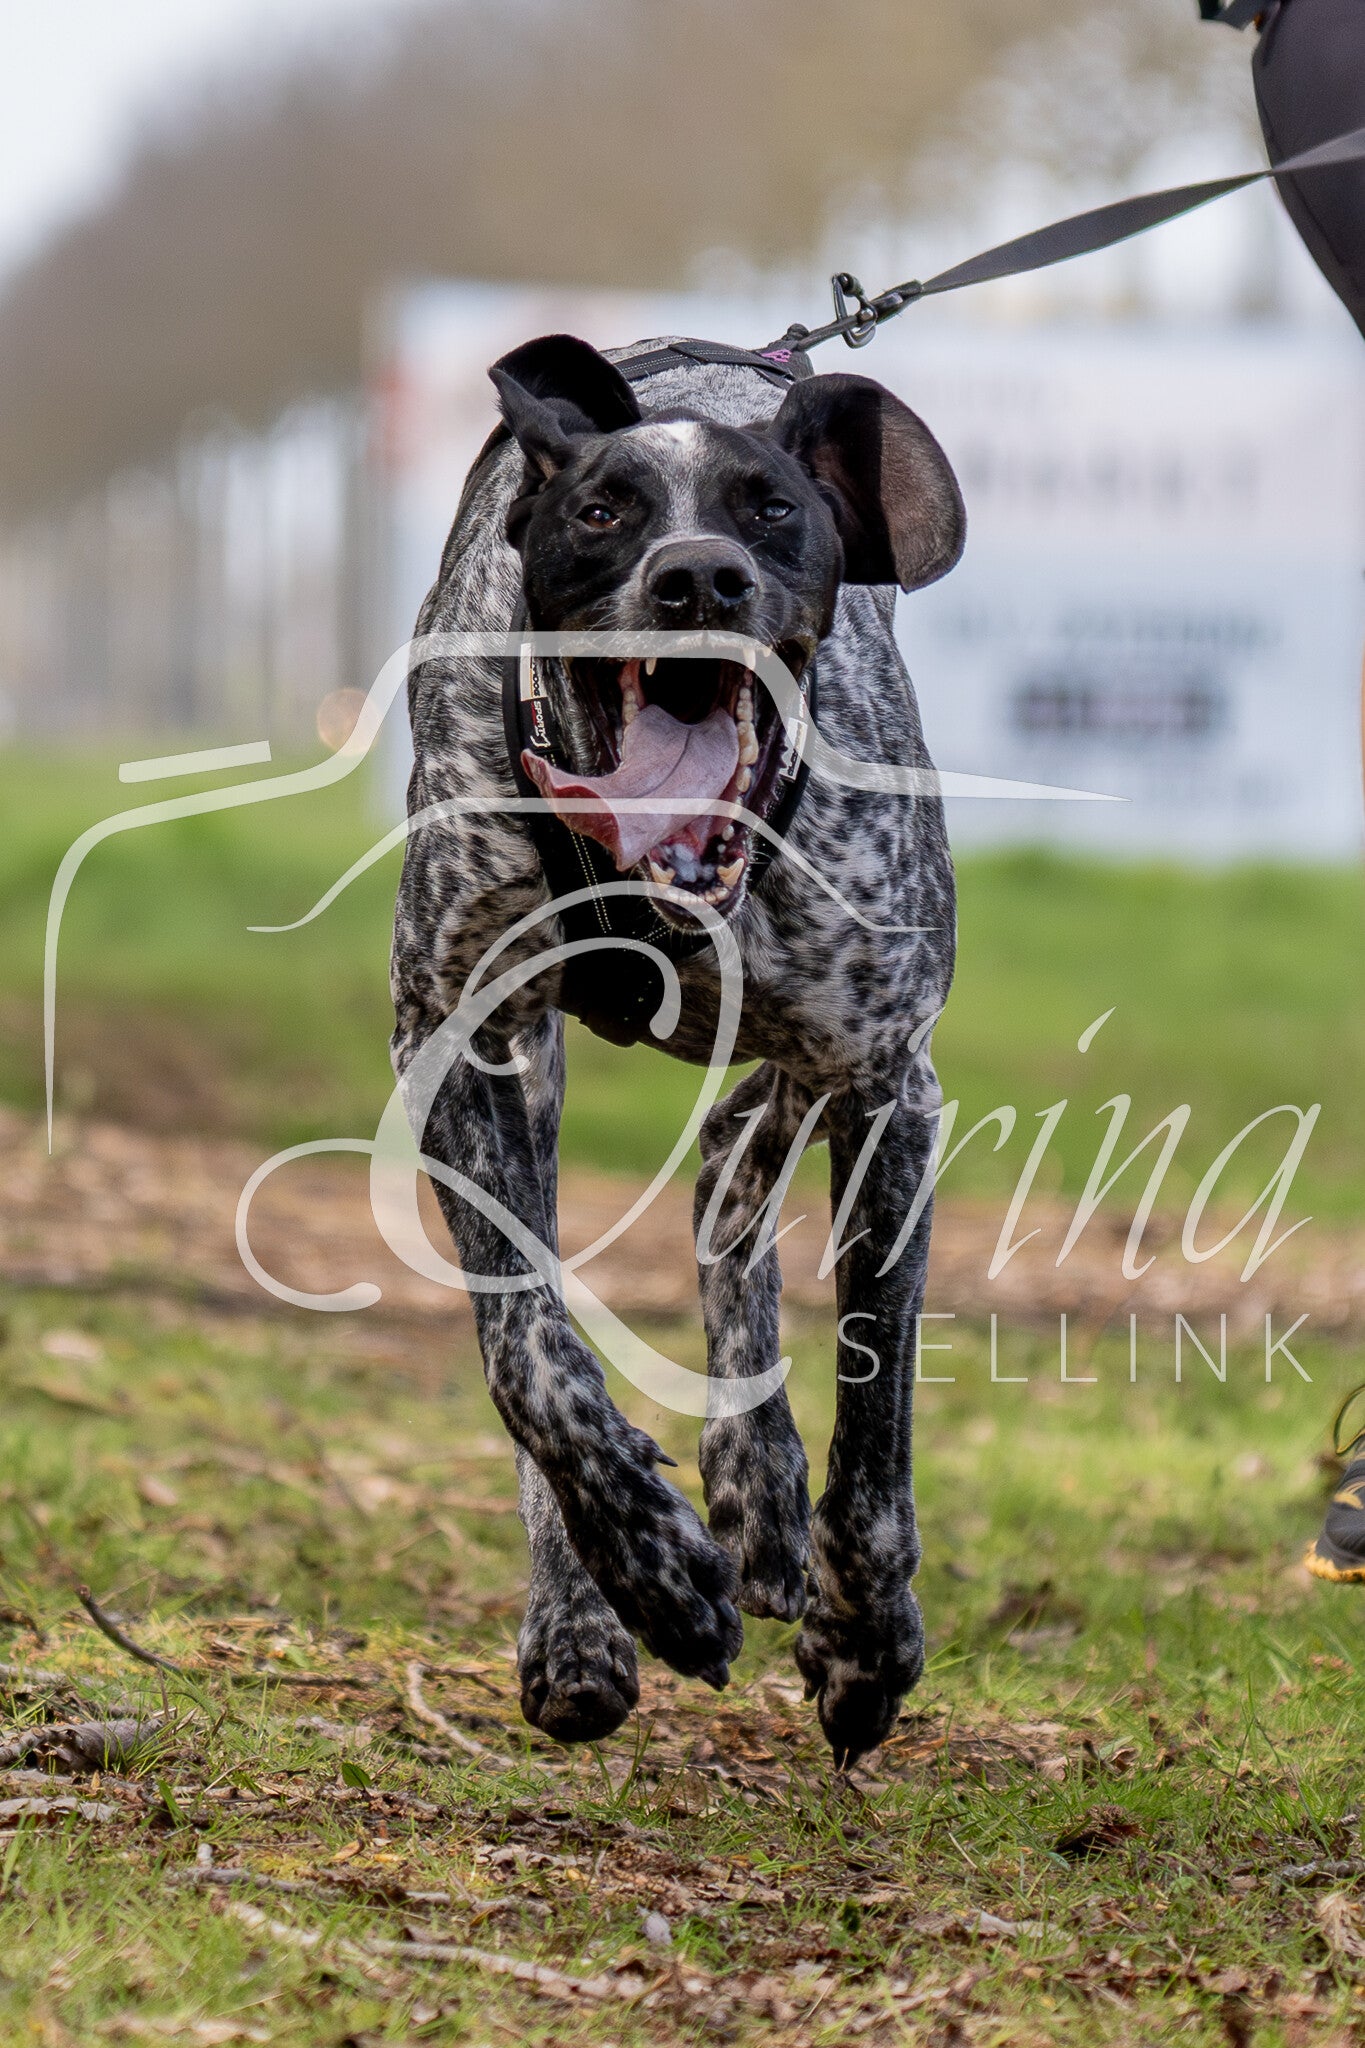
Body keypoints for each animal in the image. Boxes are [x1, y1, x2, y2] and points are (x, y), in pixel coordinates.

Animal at [390, 331, 964, 1765]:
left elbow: (877, 1415)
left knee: (727, 1166)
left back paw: (759, 1487)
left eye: (773, 509)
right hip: (539, 1074)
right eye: (602, 512)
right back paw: (590, 1616)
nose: (698, 576)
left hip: (816, 1050)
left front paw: (865, 1639)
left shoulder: (887, 1080)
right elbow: (531, 1355)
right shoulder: (457, 1046)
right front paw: (648, 1563)